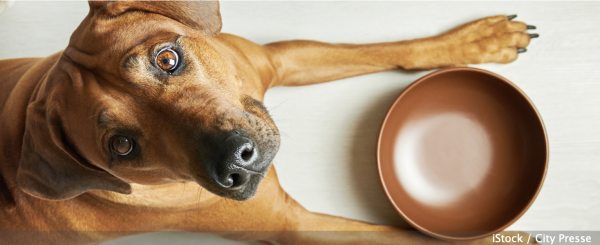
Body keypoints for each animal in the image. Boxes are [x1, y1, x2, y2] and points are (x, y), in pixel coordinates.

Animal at [0, 1, 536, 245]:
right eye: (122, 146)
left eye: (167, 59)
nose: (235, 163)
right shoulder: (298, 226)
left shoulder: (274, 59)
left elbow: (382, 50)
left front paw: (476, 41)